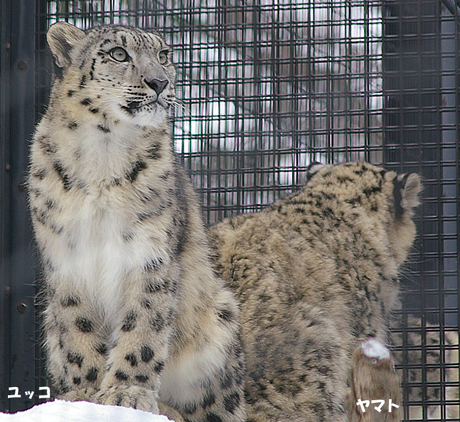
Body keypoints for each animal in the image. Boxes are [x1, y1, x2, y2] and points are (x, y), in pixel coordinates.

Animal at [27, 23, 246, 422]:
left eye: (164, 55)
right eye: (118, 53)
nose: (159, 81)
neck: (102, 154)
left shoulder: (149, 255)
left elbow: (142, 327)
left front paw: (126, 392)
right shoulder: (67, 259)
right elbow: (78, 329)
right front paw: (86, 395)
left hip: (219, 321)